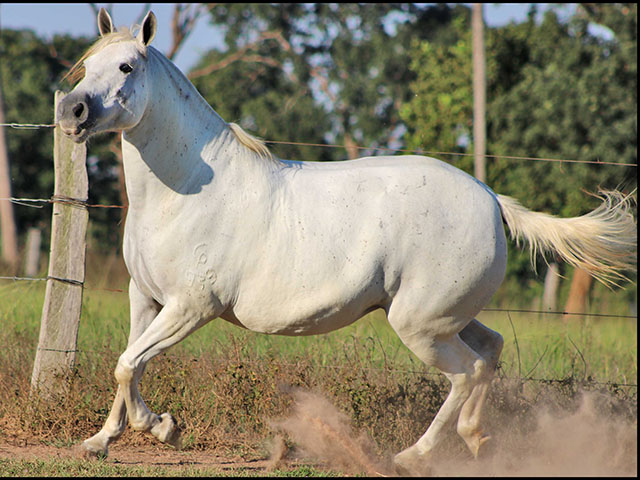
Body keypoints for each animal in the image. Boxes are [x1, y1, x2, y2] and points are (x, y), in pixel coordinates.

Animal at [56, 9, 636, 474]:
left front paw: (163, 428)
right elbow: (127, 365)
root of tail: (492, 199)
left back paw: (413, 456)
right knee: (489, 352)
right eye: (88, 65)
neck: (187, 190)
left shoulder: (192, 306)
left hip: (419, 324)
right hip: (447, 315)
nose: (72, 112)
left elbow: (128, 364)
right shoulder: (146, 298)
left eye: (127, 67)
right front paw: (101, 441)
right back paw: (478, 443)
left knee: (466, 372)